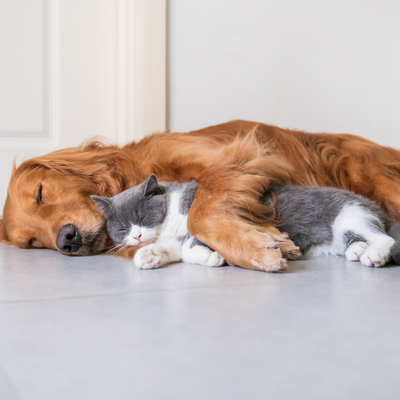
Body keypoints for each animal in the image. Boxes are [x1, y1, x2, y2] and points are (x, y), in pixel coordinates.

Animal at [90, 175, 225, 268]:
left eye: (142, 218)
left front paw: (211, 256)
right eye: (123, 228)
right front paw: (148, 255)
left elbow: (193, 241)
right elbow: (177, 244)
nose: (137, 236)